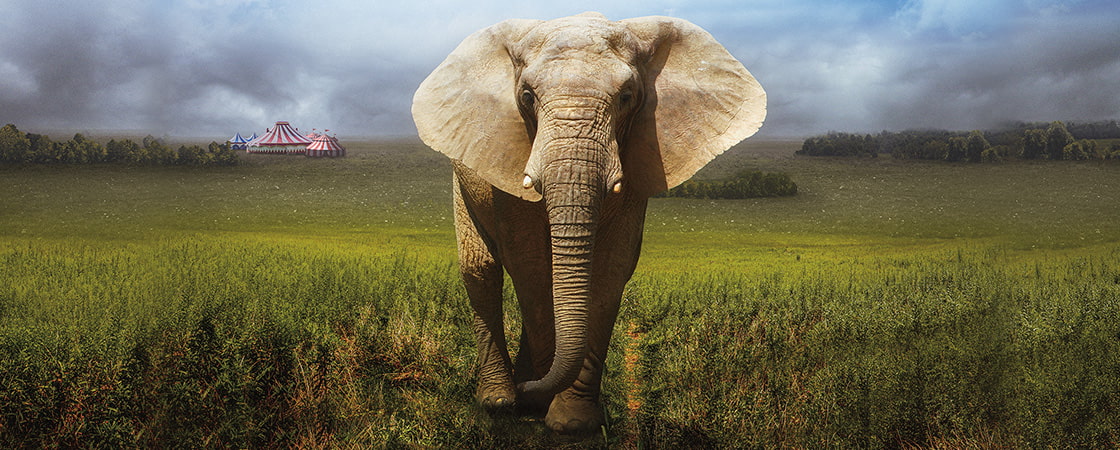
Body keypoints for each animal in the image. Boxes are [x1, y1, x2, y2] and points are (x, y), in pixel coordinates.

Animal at [411, 12, 765, 434]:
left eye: (626, 97)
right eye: (526, 97)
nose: (527, 388)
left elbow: (610, 268)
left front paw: (571, 421)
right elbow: (530, 266)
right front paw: (538, 401)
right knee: (480, 270)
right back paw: (501, 400)